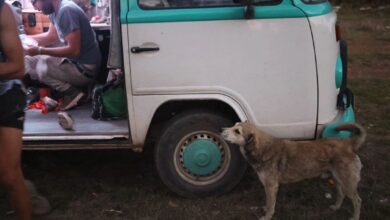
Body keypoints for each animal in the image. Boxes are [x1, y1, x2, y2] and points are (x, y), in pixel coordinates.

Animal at [222, 122, 366, 220]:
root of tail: (347, 143)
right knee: (341, 194)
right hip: (338, 179)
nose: (221, 130)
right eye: (234, 125)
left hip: (348, 182)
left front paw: (267, 216)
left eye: (237, 131)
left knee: (358, 200)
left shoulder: (271, 186)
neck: (262, 148)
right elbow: (269, 202)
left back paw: (355, 217)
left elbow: (270, 204)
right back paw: (336, 207)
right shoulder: (269, 187)